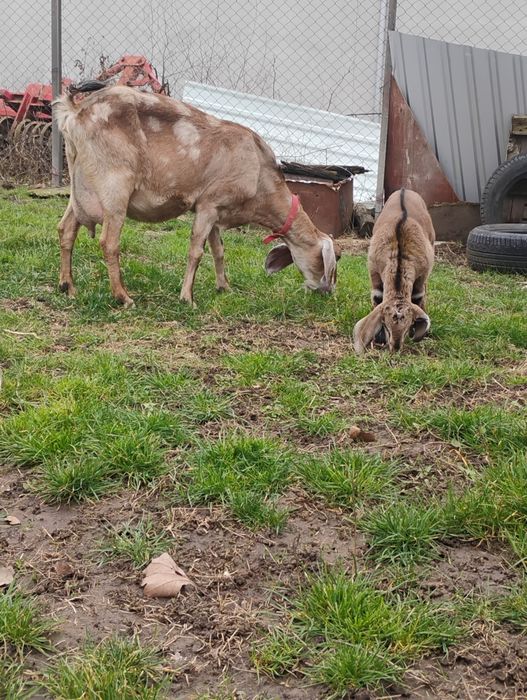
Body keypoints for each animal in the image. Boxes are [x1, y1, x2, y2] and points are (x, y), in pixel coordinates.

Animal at [54, 82, 338, 308]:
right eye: (333, 260)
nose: (328, 292)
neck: (259, 173)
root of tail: (75, 112)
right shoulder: (209, 205)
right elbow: (196, 251)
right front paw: (187, 298)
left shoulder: (215, 211)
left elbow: (218, 249)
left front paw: (224, 287)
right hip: (114, 185)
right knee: (109, 242)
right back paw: (122, 296)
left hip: (81, 187)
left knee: (66, 228)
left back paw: (68, 286)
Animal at [353, 188, 435, 353]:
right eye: (385, 325)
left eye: (408, 326)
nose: (395, 347)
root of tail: (405, 189)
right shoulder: (374, 272)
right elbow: (377, 297)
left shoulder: (421, 276)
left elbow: (419, 296)